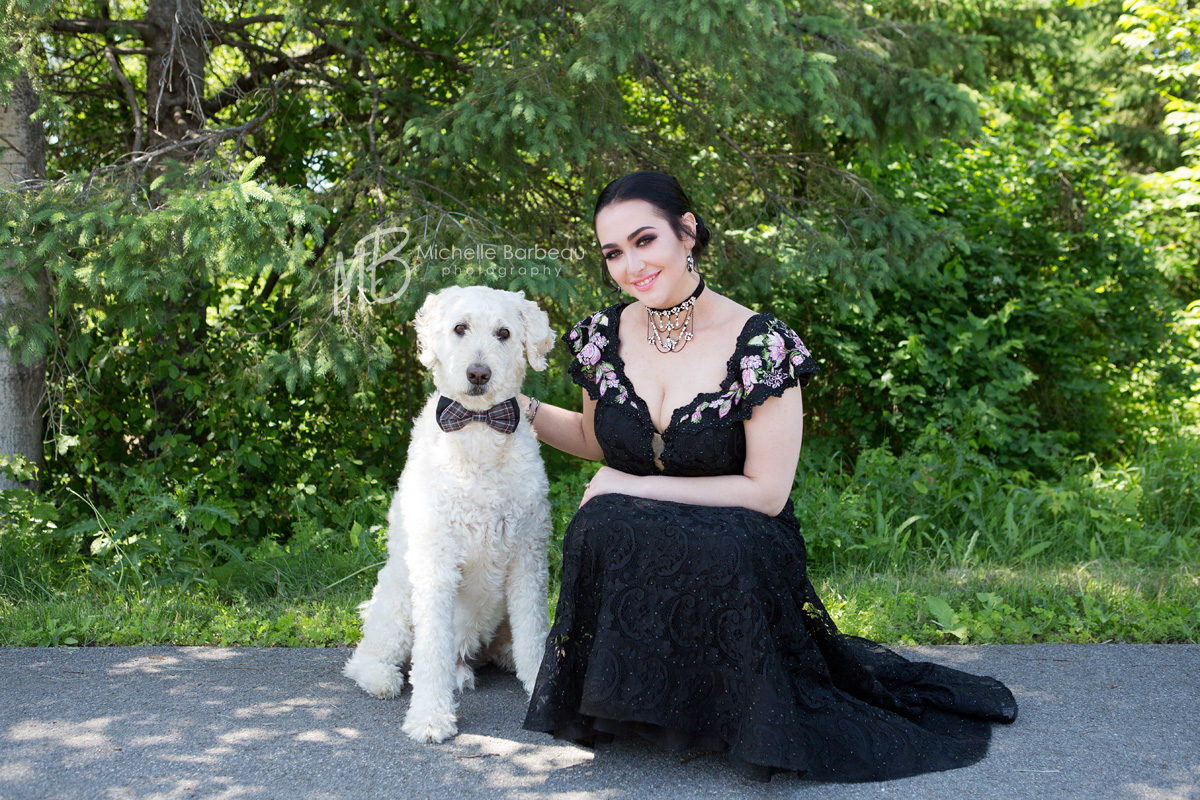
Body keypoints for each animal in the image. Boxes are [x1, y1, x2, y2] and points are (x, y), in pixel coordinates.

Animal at [343, 284, 556, 743]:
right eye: (460, 328)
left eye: (503, 333)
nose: (478, 374)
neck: (478, 429)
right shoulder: (436, 563)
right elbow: (431, 652)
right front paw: (430, 716)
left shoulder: (528, 559)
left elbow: (534, 634)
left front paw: (541, 686)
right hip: (398, 601)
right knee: (368, 656)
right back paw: (383, 678)